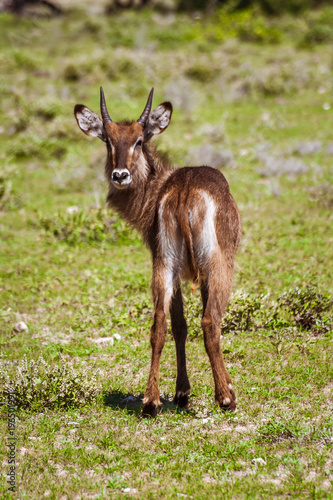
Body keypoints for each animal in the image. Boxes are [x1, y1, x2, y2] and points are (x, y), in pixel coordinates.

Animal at [74, 87, 240, 418]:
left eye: (138, 140)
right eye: (108, 140)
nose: (120, 175)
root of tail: (184, 191)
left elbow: (178, 324)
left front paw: (181, 393)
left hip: (164, 265)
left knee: (159, 323)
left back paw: (151, 401)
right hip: (217, 266)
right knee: (210, 321)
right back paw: (225, 397)